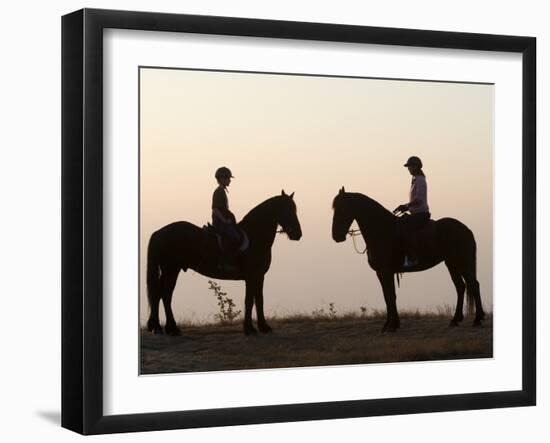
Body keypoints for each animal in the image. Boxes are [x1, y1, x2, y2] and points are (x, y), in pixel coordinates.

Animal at [148, 191, 302, 336]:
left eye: (294, 209)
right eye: (287, 209)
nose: (298, 234)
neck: (254, 236)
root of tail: (159, 232)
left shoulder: (259, 276)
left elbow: (259, 300)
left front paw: (263, 327)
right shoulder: (252, 276)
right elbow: (249, 301)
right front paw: (249, 329)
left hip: (170, 271)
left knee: (160, 294)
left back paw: (161, 328)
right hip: (171, 270)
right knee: (165, 295)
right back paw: (171, 329)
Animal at [332, 187, 484, 332]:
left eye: (343, 208)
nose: (336, 236)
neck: (382, 230)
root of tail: (465, 229)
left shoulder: (386, 271)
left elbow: (390, 296)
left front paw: (391, 326)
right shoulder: (380, 273)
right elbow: (387, 296)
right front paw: (389, 325)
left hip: (462, 263)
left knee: (473, 285)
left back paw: (477, 319)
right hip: (451, 263)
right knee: (460, 286)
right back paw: (455, 320)